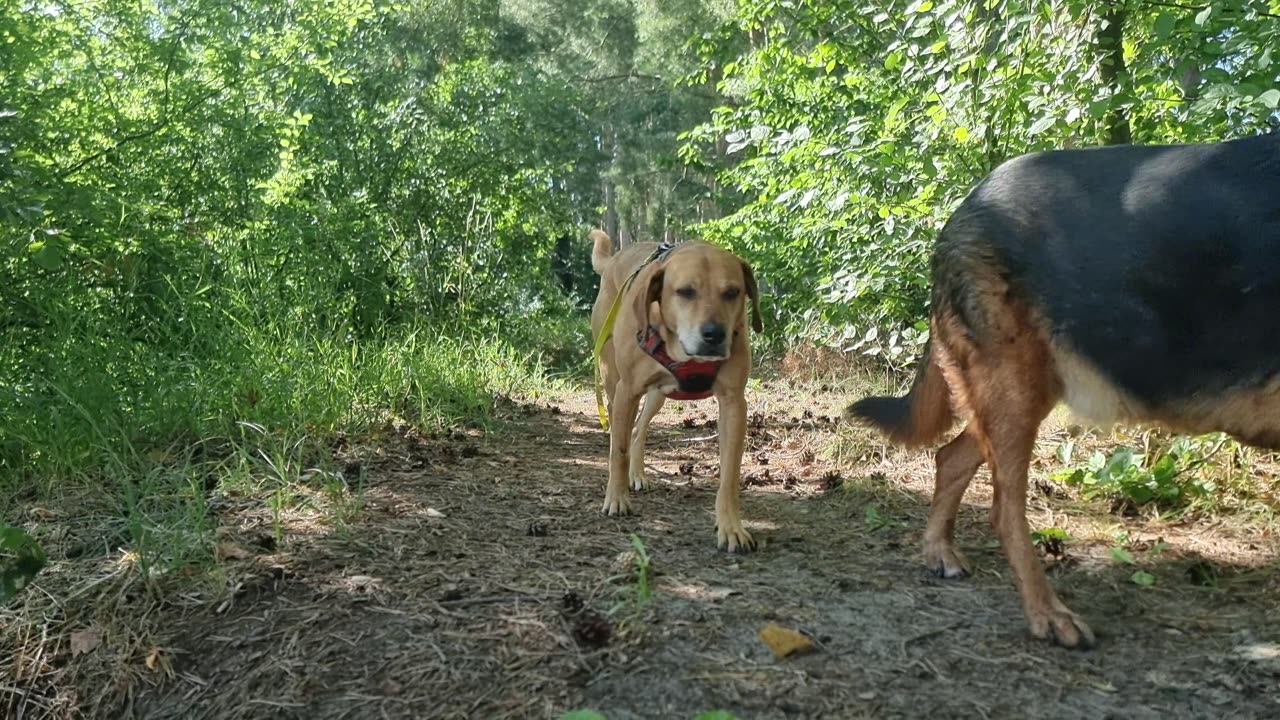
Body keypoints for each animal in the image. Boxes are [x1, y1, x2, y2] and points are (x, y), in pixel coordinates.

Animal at [586, 229, 757, 548]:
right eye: (685, 292)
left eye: (732, 292)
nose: (715, 334)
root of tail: (614, 259)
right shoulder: (628, 391)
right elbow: (618, 452)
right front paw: (616, 499)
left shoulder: (733, 403)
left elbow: (730, 473)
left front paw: (731, 527)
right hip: (612, 382)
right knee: (619, 433)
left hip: (658, 396)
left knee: (638, 430)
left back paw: (637, 473)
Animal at [849, 133, 1280, 645]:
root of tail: (970, 200)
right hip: (1014, 387)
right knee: (1003, 509)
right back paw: (1049, 613)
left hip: (1025, 391)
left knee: (950, 457)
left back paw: (942, 553)